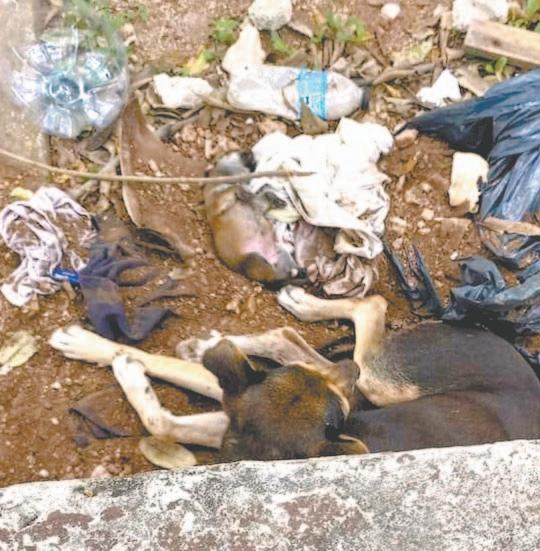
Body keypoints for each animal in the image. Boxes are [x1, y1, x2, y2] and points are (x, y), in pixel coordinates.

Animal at [50, 285, 540, 462]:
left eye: (339, 412)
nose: (347, 373)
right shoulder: (238, 406)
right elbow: (167, 406)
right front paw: (95, 346)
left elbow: (161, 420)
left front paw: (124, 366)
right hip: (376, 384)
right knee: (296, 336)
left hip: (382, 380)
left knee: (372, 308)